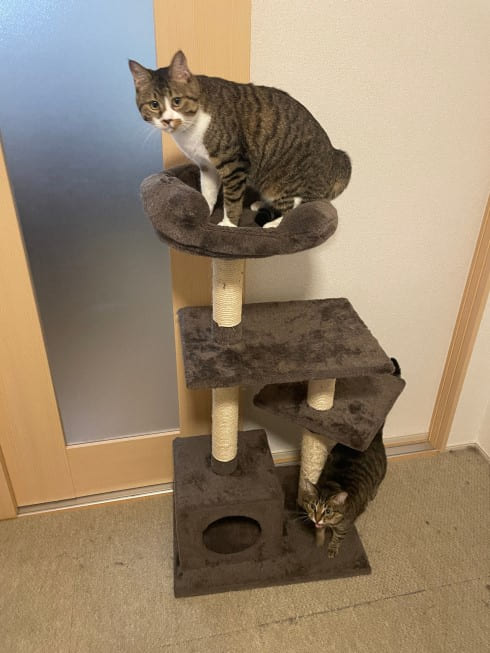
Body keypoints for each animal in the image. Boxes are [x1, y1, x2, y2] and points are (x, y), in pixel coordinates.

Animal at [129, 50, 351, 228]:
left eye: (176, 101)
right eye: (154, 105)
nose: (167, 121)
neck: (191, 129)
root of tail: (336, 155)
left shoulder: (234, 163)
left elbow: (232, 200)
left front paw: (228, 224)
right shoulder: (207, 166)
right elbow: (208, 193)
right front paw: (203, 212)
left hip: (285, 180)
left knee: (296, 205)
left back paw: (274, 223)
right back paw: (261, 203)